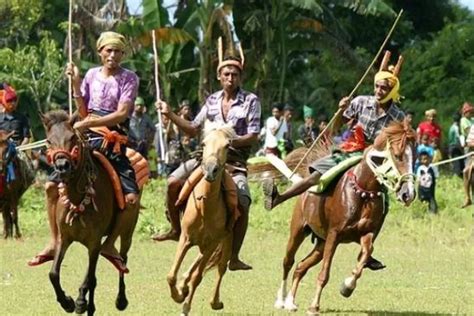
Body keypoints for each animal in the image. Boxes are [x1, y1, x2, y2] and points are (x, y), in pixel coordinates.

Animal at [42, 111, 141, 314]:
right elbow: (53, 274)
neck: (77, 199)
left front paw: (81, 302)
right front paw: (67, 302)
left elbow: (91, 279)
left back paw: (120, 299)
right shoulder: (65, 238)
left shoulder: (94, 243)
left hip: (127, 231)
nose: (62, 166)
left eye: (72, 137)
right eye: (48, 141)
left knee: (122, 258)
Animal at [167, 123, 237, 316]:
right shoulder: (185, 238)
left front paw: (185, 305)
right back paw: (184, 284)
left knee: (221, 267)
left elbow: (198, 277)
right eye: (204, 143)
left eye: (227, 145)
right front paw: (178, 295)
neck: (206, 207)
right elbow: (171, 275)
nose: (211, 170)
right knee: (198, 261)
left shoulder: (213, 242)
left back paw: (215, 301)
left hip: (226, 241)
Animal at [274, 120, 414, 314]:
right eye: (397, 155)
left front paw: (347, 286)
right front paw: (314, 306)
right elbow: (324, 274)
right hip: (298, 231)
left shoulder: (365, 234)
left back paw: (291, 301)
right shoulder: (334, 234)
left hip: (321, 243)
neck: (363, 192)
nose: (409, 194)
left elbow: (365, 254)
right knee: (288, 261)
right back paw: (281, 299)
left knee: (301, 266)